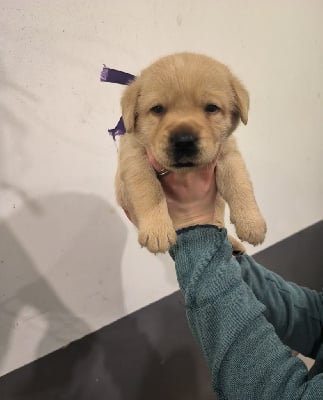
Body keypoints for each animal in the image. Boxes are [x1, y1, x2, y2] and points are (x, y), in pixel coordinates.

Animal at [115, 52, 268, 253]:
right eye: (157, 109)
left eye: (211, 108)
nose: (184, 141)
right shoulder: (134, 158)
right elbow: (150, 191)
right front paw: (157, 229)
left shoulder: (227, 154)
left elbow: (240, 184)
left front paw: (251, 222)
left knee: (218, 224)